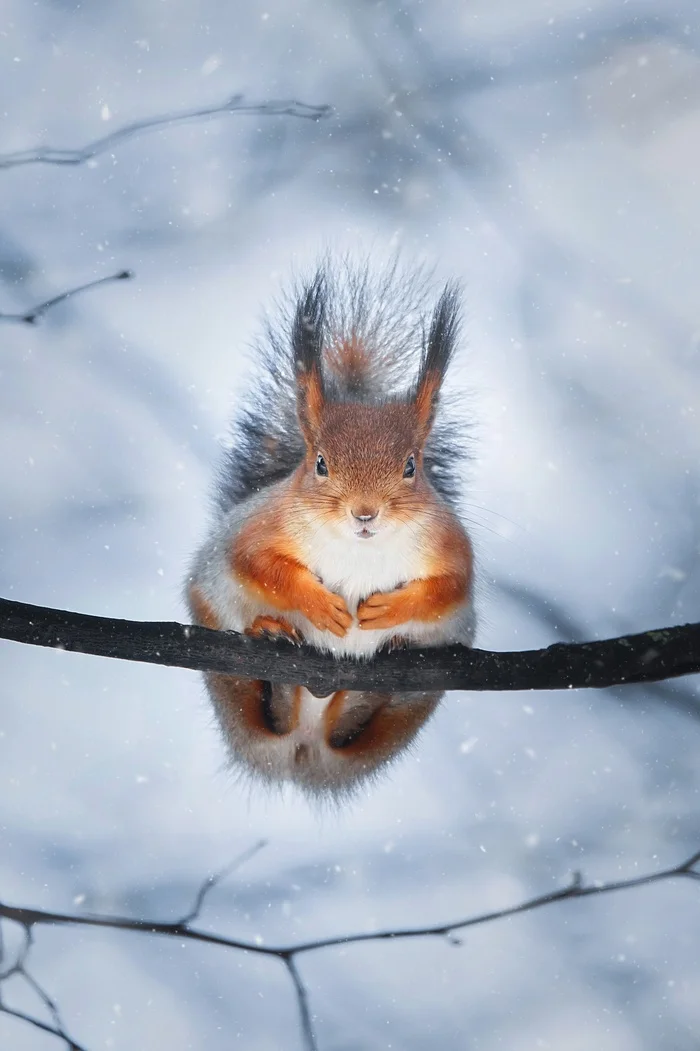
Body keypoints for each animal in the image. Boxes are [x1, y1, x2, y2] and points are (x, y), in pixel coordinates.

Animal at [183, 260, 475, 794]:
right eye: (320, 463)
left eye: (411, 466)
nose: (365, 513)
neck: (359, 549)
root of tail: (304, 755)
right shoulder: (257, 528)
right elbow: (257, 563)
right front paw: (321, 605)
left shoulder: (450, 544)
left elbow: (449, 586)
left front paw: (388, 611)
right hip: (219, 646)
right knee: (262, 710)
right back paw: (275, 651)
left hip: (420, 698)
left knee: (352, 728)